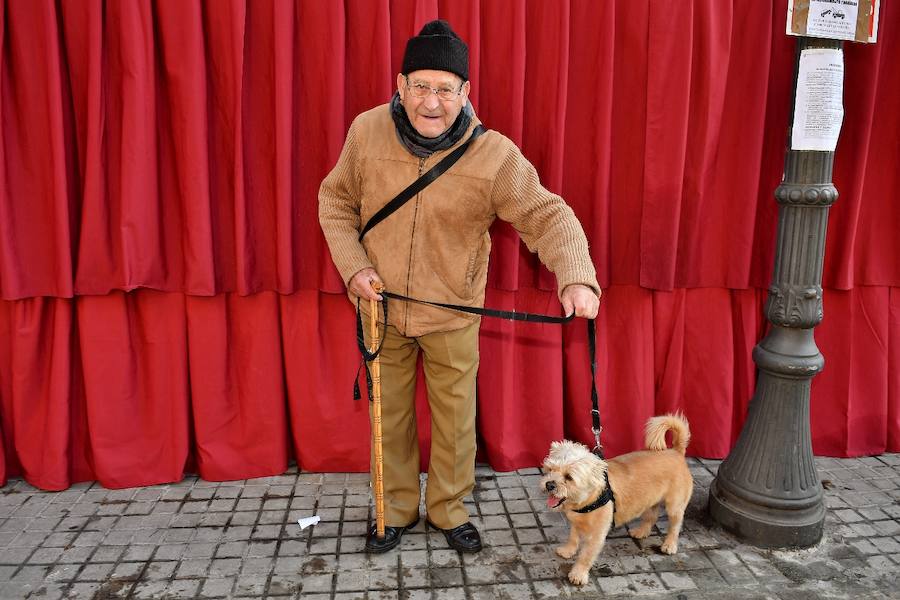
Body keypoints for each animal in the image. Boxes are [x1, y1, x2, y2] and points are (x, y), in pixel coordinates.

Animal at [536, 414, 692, 584]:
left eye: (569, 477)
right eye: (550, 469)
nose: (549, 484)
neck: (587, 500)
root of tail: (676, 451)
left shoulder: (596, 535)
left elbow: (586, 556)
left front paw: (578, 574)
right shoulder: (576, 524)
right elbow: (573, 539)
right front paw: (567, 551)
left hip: (674, 506)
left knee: (675, 525)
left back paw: (670, 545)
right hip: (650, 500)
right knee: (651, 516)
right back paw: (641, 531)